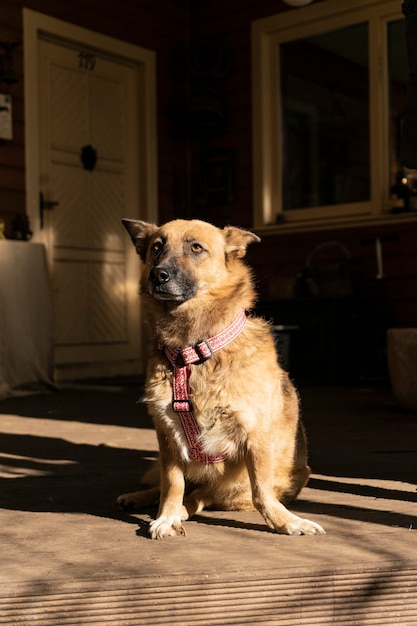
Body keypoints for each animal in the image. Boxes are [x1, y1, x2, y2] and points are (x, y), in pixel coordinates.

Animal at [117, 218, 324, 536]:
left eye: (196, 247)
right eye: (156, 247)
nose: (157, 275)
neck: (193, 351)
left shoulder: (255, 435)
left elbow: (261, 490)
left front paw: (285, 521)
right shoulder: (168, 435)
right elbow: (172, 483)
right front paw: (166, 516)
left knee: (204, 495)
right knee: (176, 486)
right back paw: (141, 497)